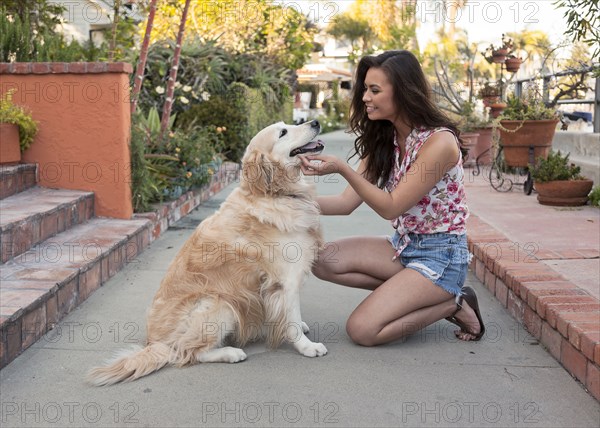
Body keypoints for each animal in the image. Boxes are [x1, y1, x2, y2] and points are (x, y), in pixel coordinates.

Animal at [86, 119, 326, 384]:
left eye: (291, 123)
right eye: (283, 132)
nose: (315, 121)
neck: (274, 194)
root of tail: (155, 343)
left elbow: (293, 313)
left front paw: (301, 326)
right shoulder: (285, 280)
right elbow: (291, 318)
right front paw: (307, 346)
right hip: (219, 303)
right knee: (189, 352)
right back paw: (230, 352)